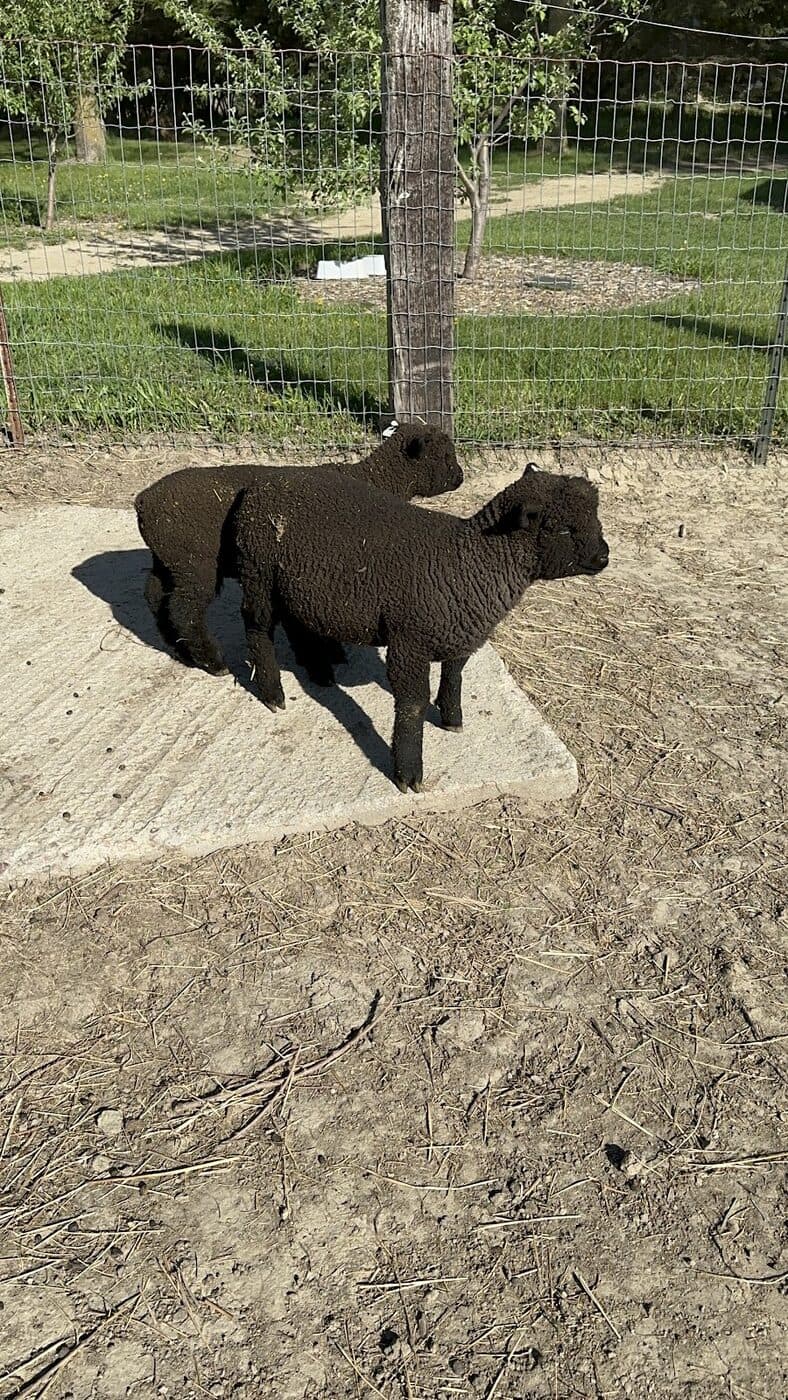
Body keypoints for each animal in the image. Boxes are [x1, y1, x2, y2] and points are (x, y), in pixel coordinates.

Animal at [134, 423, 462, 679]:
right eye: (443, 456)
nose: (460, 477)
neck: (377, 479)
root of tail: (142, 501)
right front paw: (328, 654)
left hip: (169, 560)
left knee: (155, 596)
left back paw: (181, 651)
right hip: (195, 564)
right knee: (183, 609)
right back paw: (212, 662)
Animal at [232, 462, 609, 792]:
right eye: (562, 528)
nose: (604, 557)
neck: (472, 561)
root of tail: (263, 483)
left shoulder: (462, 631)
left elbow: (455, 674)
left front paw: (452, 717)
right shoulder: (409, 642)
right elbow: (412, 705)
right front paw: (408, 772)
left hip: (296, 584)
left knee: (297, 621)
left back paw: (320, 671)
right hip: (258, 573)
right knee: (257, 628)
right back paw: (273, 694)